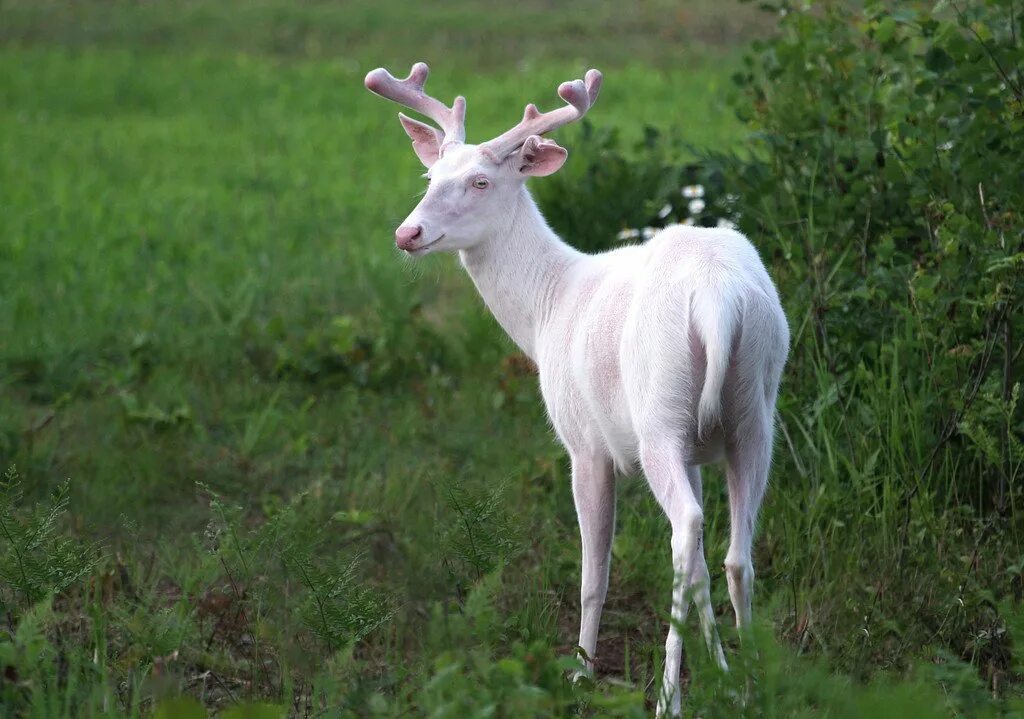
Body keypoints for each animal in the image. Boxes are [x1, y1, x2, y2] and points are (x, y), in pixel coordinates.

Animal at [368, 64, 790, 716]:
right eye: (429, 175)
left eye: (481, 181)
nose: (407, 232)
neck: (547, 308)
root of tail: (720, 300)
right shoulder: (700, 449)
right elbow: (701, 564)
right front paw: (721, 671)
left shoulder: (584, 442)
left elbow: (595, 573)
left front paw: (580, 673)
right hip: (753, 411)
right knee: (733, 553)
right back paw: (752, 685)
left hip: (658, 415)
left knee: (686, 531)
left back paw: (668, 697)